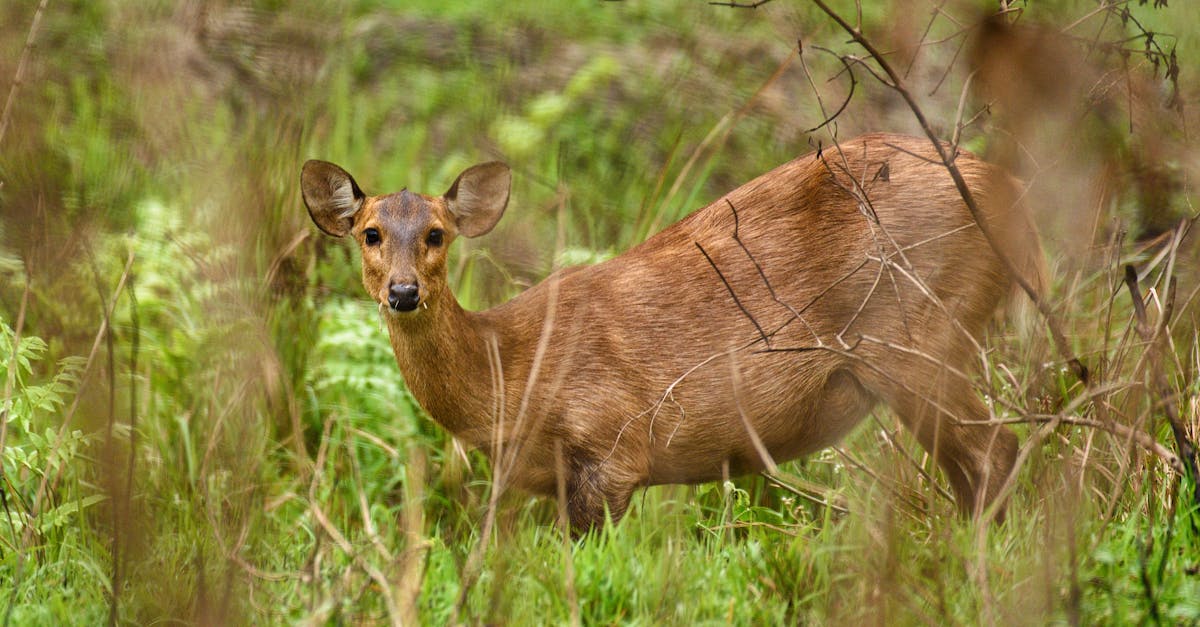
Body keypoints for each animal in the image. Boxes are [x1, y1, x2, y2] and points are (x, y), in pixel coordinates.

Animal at [301, 133, 1046, 533]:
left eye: (436, 234)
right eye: (370, 232)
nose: (403, 293)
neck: (512, 368)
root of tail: (1010, 190)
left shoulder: (613, 444)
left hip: (919, 331)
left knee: (998, 452)